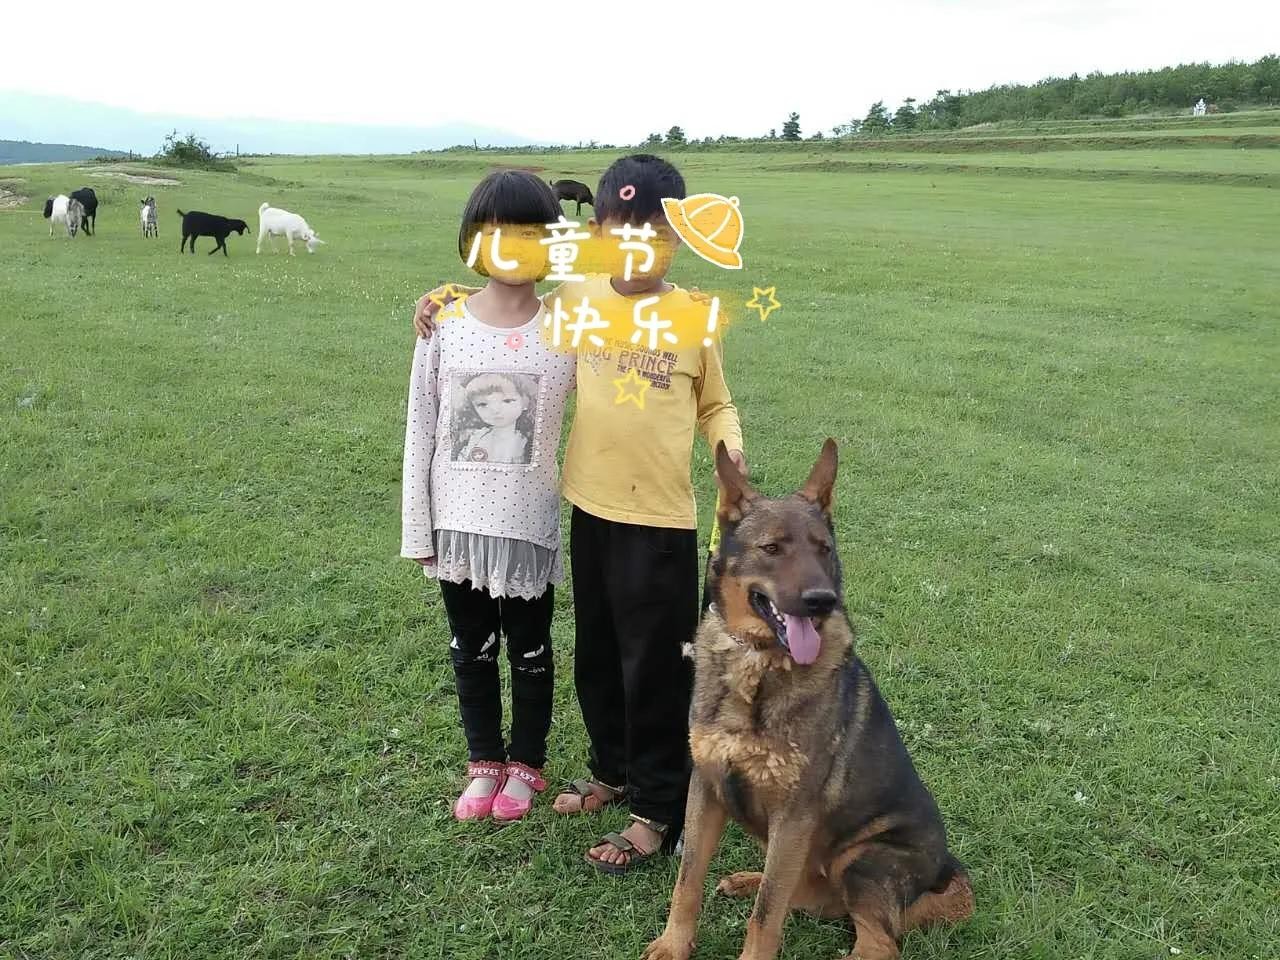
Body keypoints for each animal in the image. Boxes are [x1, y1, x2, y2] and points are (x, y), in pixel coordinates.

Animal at [644, 441, 973, 960]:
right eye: (772, 549)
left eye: (824, 550)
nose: (822, 600)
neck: (760, 668)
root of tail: (945, 870)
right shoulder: (708, 790)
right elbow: (688, 880)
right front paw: (675, 944)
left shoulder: (794, 816)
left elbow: (765, 916)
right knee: (802, 895)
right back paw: (746, 879)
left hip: (860, 860)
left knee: (877, 942)